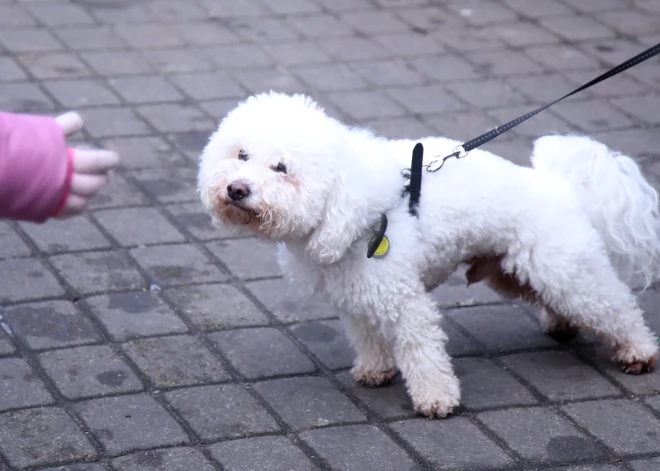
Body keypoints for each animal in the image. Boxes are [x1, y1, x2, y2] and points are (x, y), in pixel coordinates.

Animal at [199, 94, 660, 418]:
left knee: (614, 306)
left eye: (281, 168)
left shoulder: (405, 301)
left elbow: (422, 352)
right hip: (517, 274)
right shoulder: (357, 296)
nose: (236, 189)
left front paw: (437, 400)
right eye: (241, 155)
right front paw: (376, 370)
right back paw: (563, 325)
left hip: (565, 271)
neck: (351, 209)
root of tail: (560, 186)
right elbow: (370, 338)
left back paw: (639, 352)